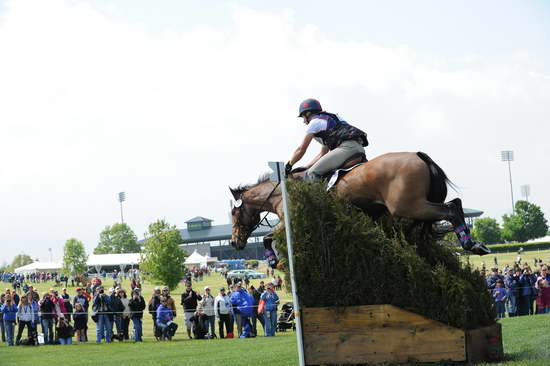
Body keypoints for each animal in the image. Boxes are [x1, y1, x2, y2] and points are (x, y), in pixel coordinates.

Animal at [229, 150, 492, 258]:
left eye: (234, 214)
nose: (234, 242)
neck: (279, 193)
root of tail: (418, 155)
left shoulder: (289, 221)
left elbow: (267, 238)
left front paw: (274, 260)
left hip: (407, 205)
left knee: (451, 209)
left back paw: (471, 245)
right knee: (454, 204)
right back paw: (477, 244)